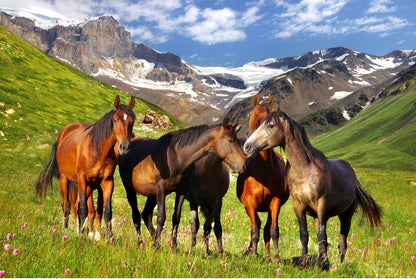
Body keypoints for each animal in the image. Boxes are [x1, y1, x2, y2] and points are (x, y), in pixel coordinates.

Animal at [34, 95, 135, 242]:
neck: (98, 151)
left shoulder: (107, 182)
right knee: (67, 205)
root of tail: (64, 132)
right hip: (65, 180)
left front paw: (110, 238)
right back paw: (66, 228)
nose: (124, 147)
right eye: (115, 120)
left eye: (132, 121)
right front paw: (82, 234)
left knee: (76, 206)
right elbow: (83, 209)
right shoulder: (83, 180)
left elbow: (106, 211)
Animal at [118, 119, 245, 248]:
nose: (243, 164)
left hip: (152, 195)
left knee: (146, 214)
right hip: (130, 188)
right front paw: (159, 246)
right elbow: (161, 217)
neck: (175, 156)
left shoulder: (181, 191)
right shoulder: (161, 189)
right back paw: (141, 243)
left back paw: (154, 242)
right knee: (136, 216)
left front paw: (173, 246)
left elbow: (176, 217)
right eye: (230, 140)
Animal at [236, 95, 288, 260]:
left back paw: (267, 256)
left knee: (266, 229)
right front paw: (252, 254)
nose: (248, 145)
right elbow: (254, 230)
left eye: (269, 120)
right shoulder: (250, 204)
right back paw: (253, 251)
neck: (263, 170)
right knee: (257, 226)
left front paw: (276, 257)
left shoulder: (275, 202)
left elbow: (273, 230)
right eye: (250, 115)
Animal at [244, 110, 384, 272]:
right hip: (319, 216)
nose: (247, 146)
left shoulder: (321, 205)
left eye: (271, 125)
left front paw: (325, 264)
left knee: (342, 242)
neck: (305, 172)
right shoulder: (298, 207)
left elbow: (322, 235)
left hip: (345, 215)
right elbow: (304, 235)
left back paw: (340, 265)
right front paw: (305, 262)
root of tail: (352, 174)